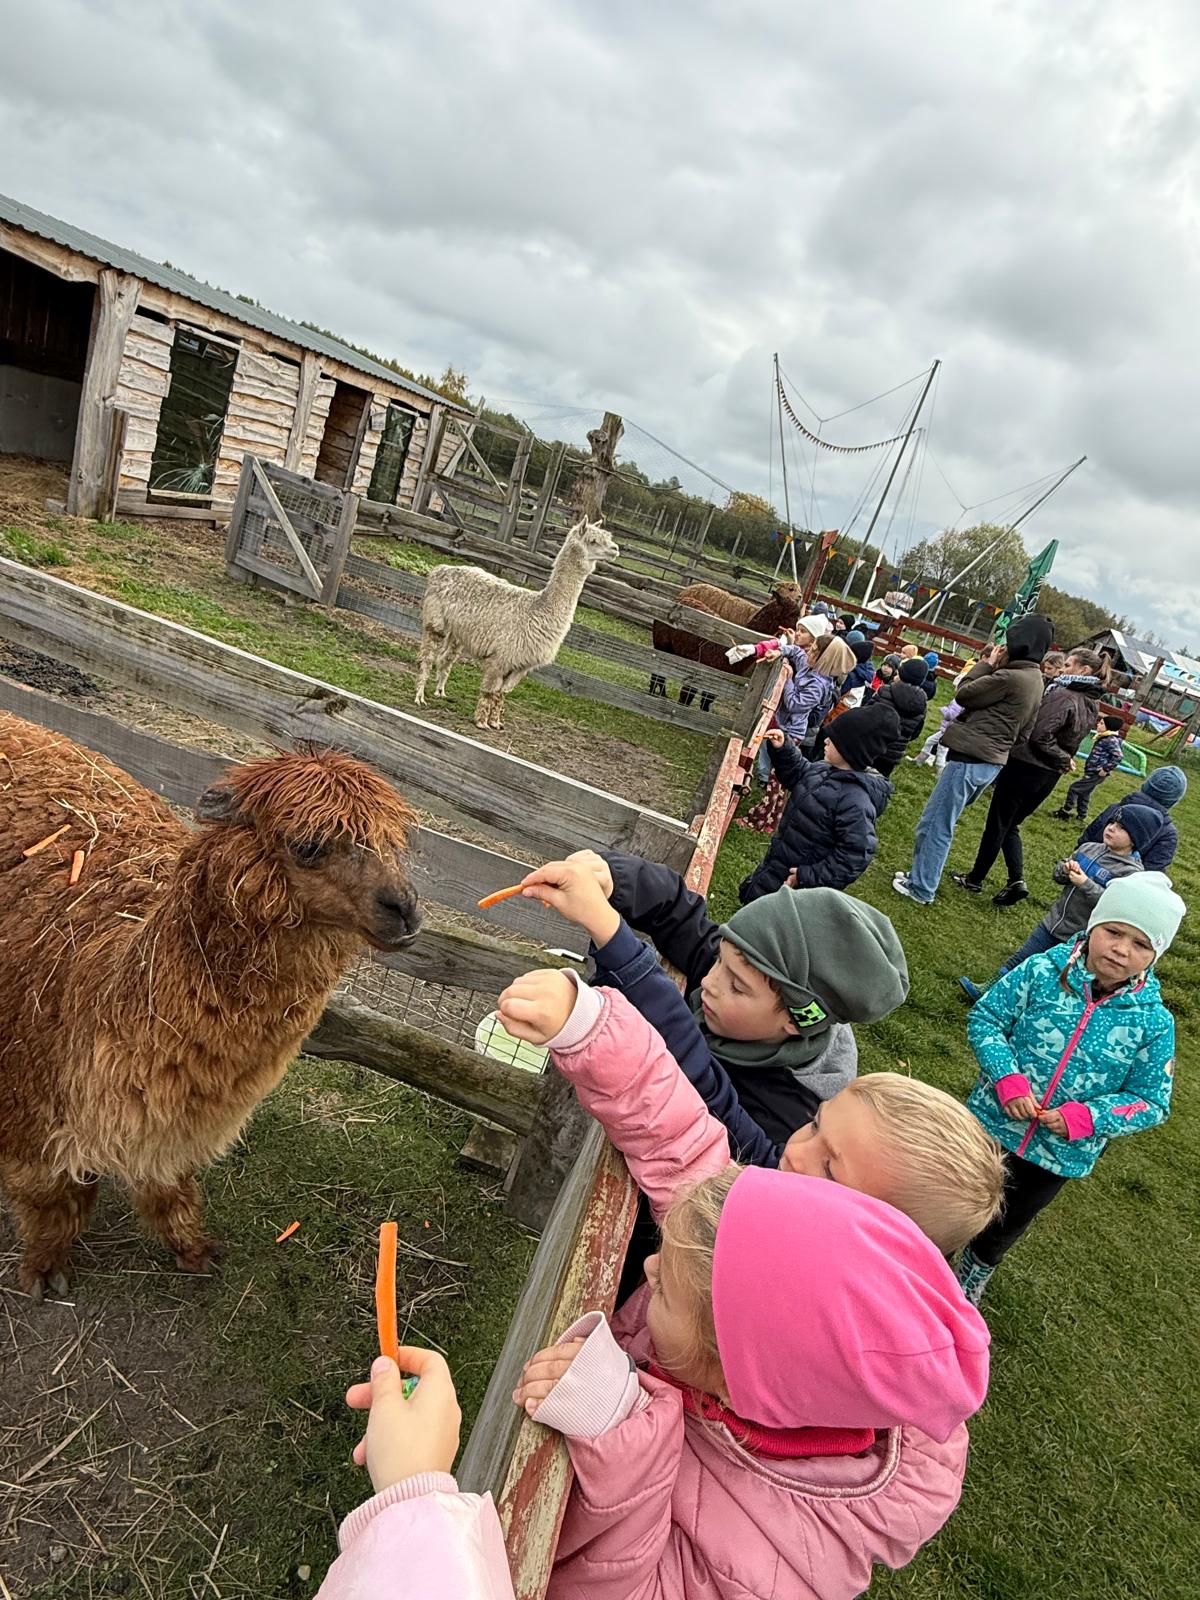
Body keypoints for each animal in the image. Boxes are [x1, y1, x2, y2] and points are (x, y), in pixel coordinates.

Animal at [0, 715, 420, 1300]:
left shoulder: (171, 1113)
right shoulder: (29, 1098)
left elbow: (168, 1183)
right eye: (309, 845)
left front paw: (192, 1249)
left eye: (393, 840)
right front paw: (43, 1268)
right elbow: (48, 1199)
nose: (405, 910)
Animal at [413, 518, 619, 730]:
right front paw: (481, 722)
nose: (615, 549)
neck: (536, 610)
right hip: (435, 621)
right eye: (593, 540)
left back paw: (440, 692)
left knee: (446, 658)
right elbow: (489, 691)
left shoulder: (520, 664)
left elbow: (500, 695)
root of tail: (440, 569)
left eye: (608, 537)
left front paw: (496, 723)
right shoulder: (501, 657)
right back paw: (420, 697)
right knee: (427, 657)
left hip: (457, 633)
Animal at [651, 580, 806, 698]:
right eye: (792, 614)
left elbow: (706, 701)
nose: (799, 631)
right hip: (662, 643)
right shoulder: (698, 671)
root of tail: (678, 598)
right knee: (657, 670)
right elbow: (686, 698)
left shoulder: (724, 678)